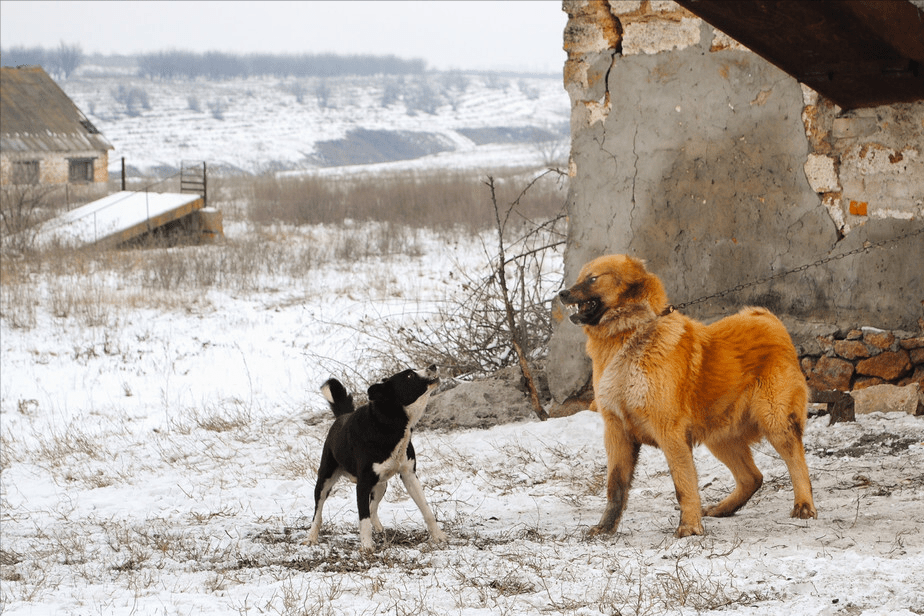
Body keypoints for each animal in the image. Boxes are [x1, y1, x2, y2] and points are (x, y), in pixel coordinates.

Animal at [306, 366, 448, 548]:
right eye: (409, 375)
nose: (433, 366)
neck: (390, 424)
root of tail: (341, 417)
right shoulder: (363, 484)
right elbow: (363, 518)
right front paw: (367, 547)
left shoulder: (409, 475)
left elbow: (426, 508)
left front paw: (438, 536)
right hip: (325, 480)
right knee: (318, 512)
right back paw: (311, 537)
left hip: (381, 485)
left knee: (373, 508)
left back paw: (380, 530)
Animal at [560, 253, 812, 536]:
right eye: (580, 277)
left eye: (593, 279)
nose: (561, 293)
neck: (629, 335)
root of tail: (768, 319)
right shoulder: (617, 432)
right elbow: (615, 486)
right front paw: (605, 528)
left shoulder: (669, 432)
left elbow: (683, 484)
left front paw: (689, 528)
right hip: (720, 436)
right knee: (752, 478)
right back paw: (722, 509)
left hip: (775, 421)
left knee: (797, 462)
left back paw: (804, 506)